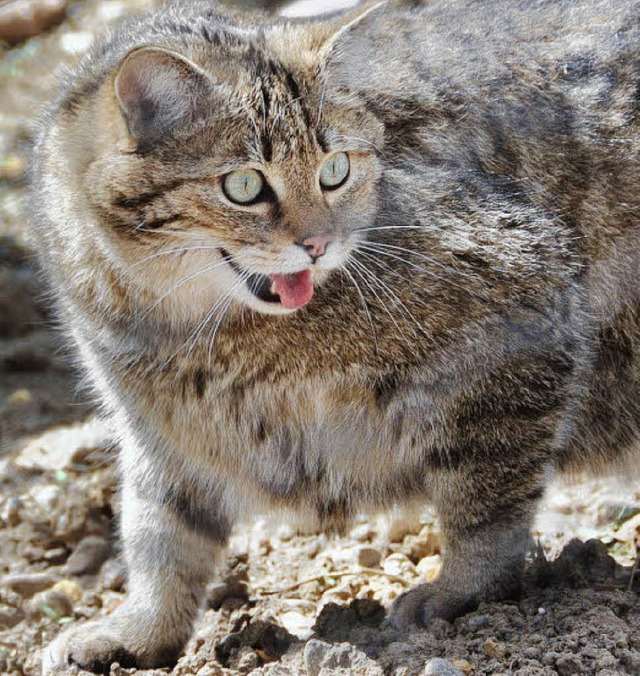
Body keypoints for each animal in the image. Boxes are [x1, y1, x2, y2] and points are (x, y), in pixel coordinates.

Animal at [31, 0, 640, 668]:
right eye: (243, 185)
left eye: (334, 170)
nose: (319, 244)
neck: (182, 329)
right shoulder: (161, 434)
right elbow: (160, 540)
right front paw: (138, 633)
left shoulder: (520, 311)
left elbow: (487, 503)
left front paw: (460, 592)